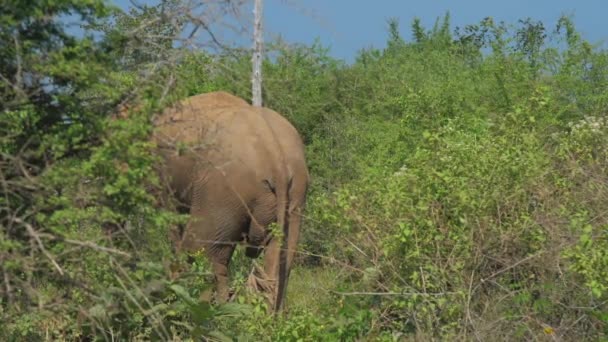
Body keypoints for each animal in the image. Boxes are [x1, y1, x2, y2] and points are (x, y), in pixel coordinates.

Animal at [150, 91, 312, 312]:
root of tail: (275, 156)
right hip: (295, 193)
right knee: (282, 258)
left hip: (220, 188)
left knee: (203, 252)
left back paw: (207, 312)